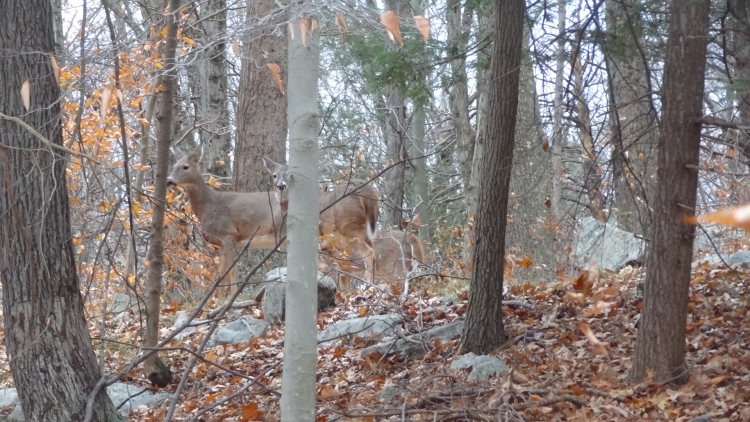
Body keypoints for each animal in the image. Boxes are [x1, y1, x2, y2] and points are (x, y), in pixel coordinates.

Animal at [167, 145, 285, 298]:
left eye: (185, 166)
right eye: (174, 165)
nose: (169, 180)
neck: (210, 205)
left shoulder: (229, 234)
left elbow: (231, 270)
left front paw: (232, 297)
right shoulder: (220, 242)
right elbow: (221, 272)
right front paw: (218, 300)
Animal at [261, 156, 379, 288]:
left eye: (290, 175)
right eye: (274, 175)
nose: (281, 186)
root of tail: (368, 189)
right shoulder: (328, 247)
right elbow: (340, 273)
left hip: (349, 226)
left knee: (369, 252)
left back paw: (367, 285)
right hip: (366, 230)